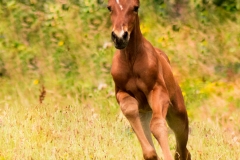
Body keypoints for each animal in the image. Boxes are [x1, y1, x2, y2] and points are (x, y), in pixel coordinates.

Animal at [107, 0, 191, 159]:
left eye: (135, 8)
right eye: (109, 8)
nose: (120, 37)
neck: (131, 60)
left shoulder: (157, 91)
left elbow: (157, 125)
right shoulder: (121, 92)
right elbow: (129, 109)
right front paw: (151, 154)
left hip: (178, 113)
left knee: (182, 146)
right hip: (145, 112)